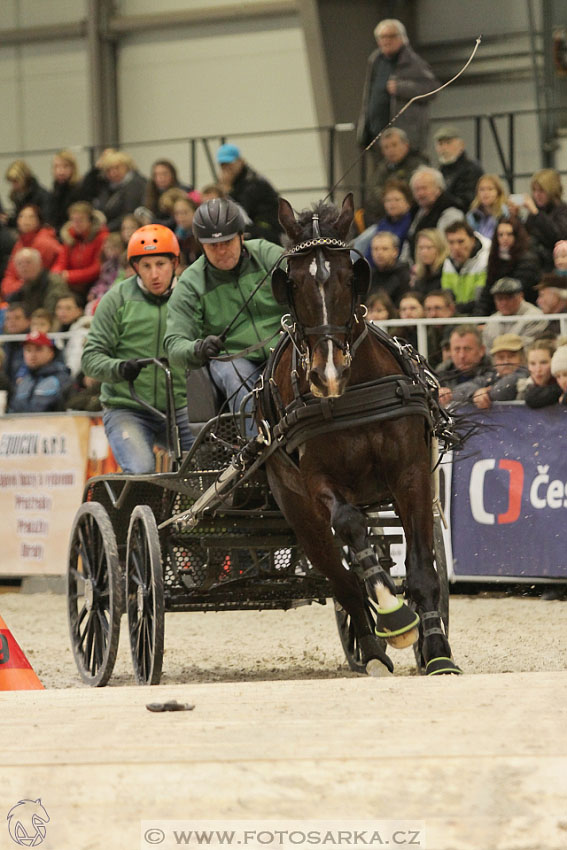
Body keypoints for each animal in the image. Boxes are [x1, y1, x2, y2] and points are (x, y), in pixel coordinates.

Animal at [260, 192, 464, 676]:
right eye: (292, 282)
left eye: (350, 275)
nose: (327, 374)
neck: (353, 395)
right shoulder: (318, 484)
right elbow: (352, 531)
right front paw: (395, 616)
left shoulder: (411, 474)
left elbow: (424, 570)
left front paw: (436, 649)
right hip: (300, 514)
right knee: (344, 579)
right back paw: (371, 648)